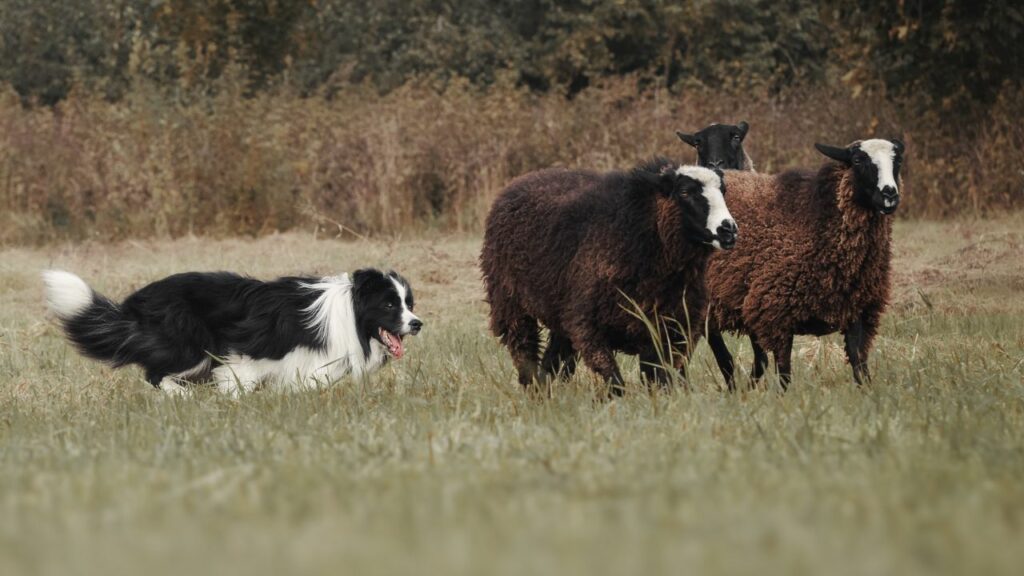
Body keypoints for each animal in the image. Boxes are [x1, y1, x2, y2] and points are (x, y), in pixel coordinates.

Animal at [41, 266, 421, 391]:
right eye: (389, 305)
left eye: (408, 303)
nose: (418, 324)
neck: (350, 314)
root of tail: (135, 303)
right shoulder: (250, 353)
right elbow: (241, 380)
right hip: (191, 346)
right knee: (156, 375)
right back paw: (181, 396)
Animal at [479, 157, 737, 393]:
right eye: (684, 192)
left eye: (723, 190)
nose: (729, 230)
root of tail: (523, 178)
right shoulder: (588, 325)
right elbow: (615, 381)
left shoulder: (670, 331)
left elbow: (660, 380)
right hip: (510, 303)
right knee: (524, 352)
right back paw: (534, 392)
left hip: (560, 312)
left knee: (554, 360)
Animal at [696, 139, 905, 389]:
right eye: (857, 160)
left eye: (898, 161)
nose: (889, 194)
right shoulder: (776, 314)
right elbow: (784, 374)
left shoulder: (857, 310)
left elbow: (859, 366)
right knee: (722, 353)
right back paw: (733, 389)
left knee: (758, 358)